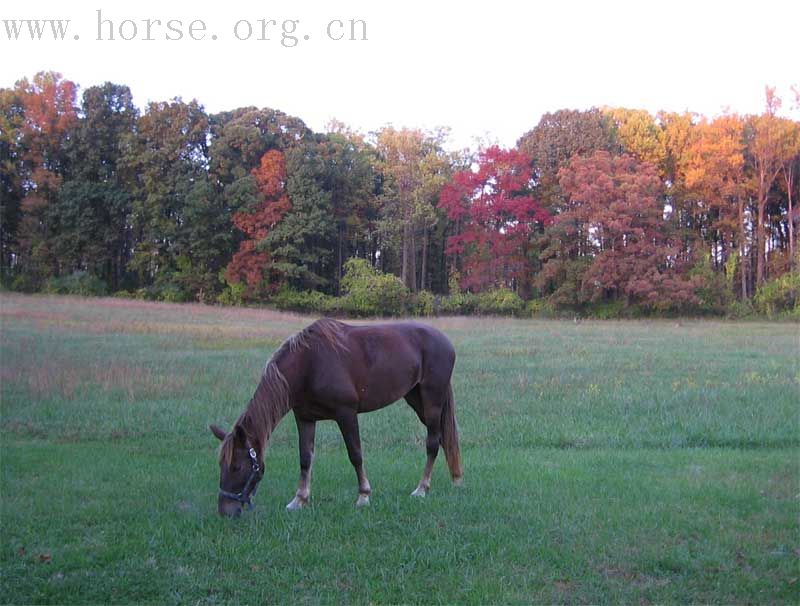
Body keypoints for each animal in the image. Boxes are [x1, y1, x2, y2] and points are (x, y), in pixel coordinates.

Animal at [209, 318, 466, 516]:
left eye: (236, 466)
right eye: (221, 465)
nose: (225, 510)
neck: (309, 363)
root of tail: (446, 342)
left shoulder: (346, 414)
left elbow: (355, 455)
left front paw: (363, 496)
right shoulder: (305, 418)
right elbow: (305, 458)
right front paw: (299, 500)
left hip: (432, 401)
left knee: (432, 443)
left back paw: (422, 489)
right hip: (415, 399)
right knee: (443, 438)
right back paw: (455, 479)